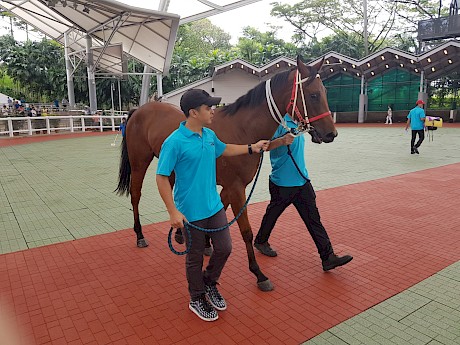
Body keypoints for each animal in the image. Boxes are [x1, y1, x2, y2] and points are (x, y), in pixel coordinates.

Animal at [115, 56, 338, 290]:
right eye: (313, 95)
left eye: (324, 92)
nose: (331, 133)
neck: (242, 129)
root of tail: (140, 110)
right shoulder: (236, 188)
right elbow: (246, 231)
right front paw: (259, 274)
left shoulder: (228, 187)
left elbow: (218, 213)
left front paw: (206, 244)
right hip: (139, 162)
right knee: (136, 195)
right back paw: (139, 235)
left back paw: (178, 234)